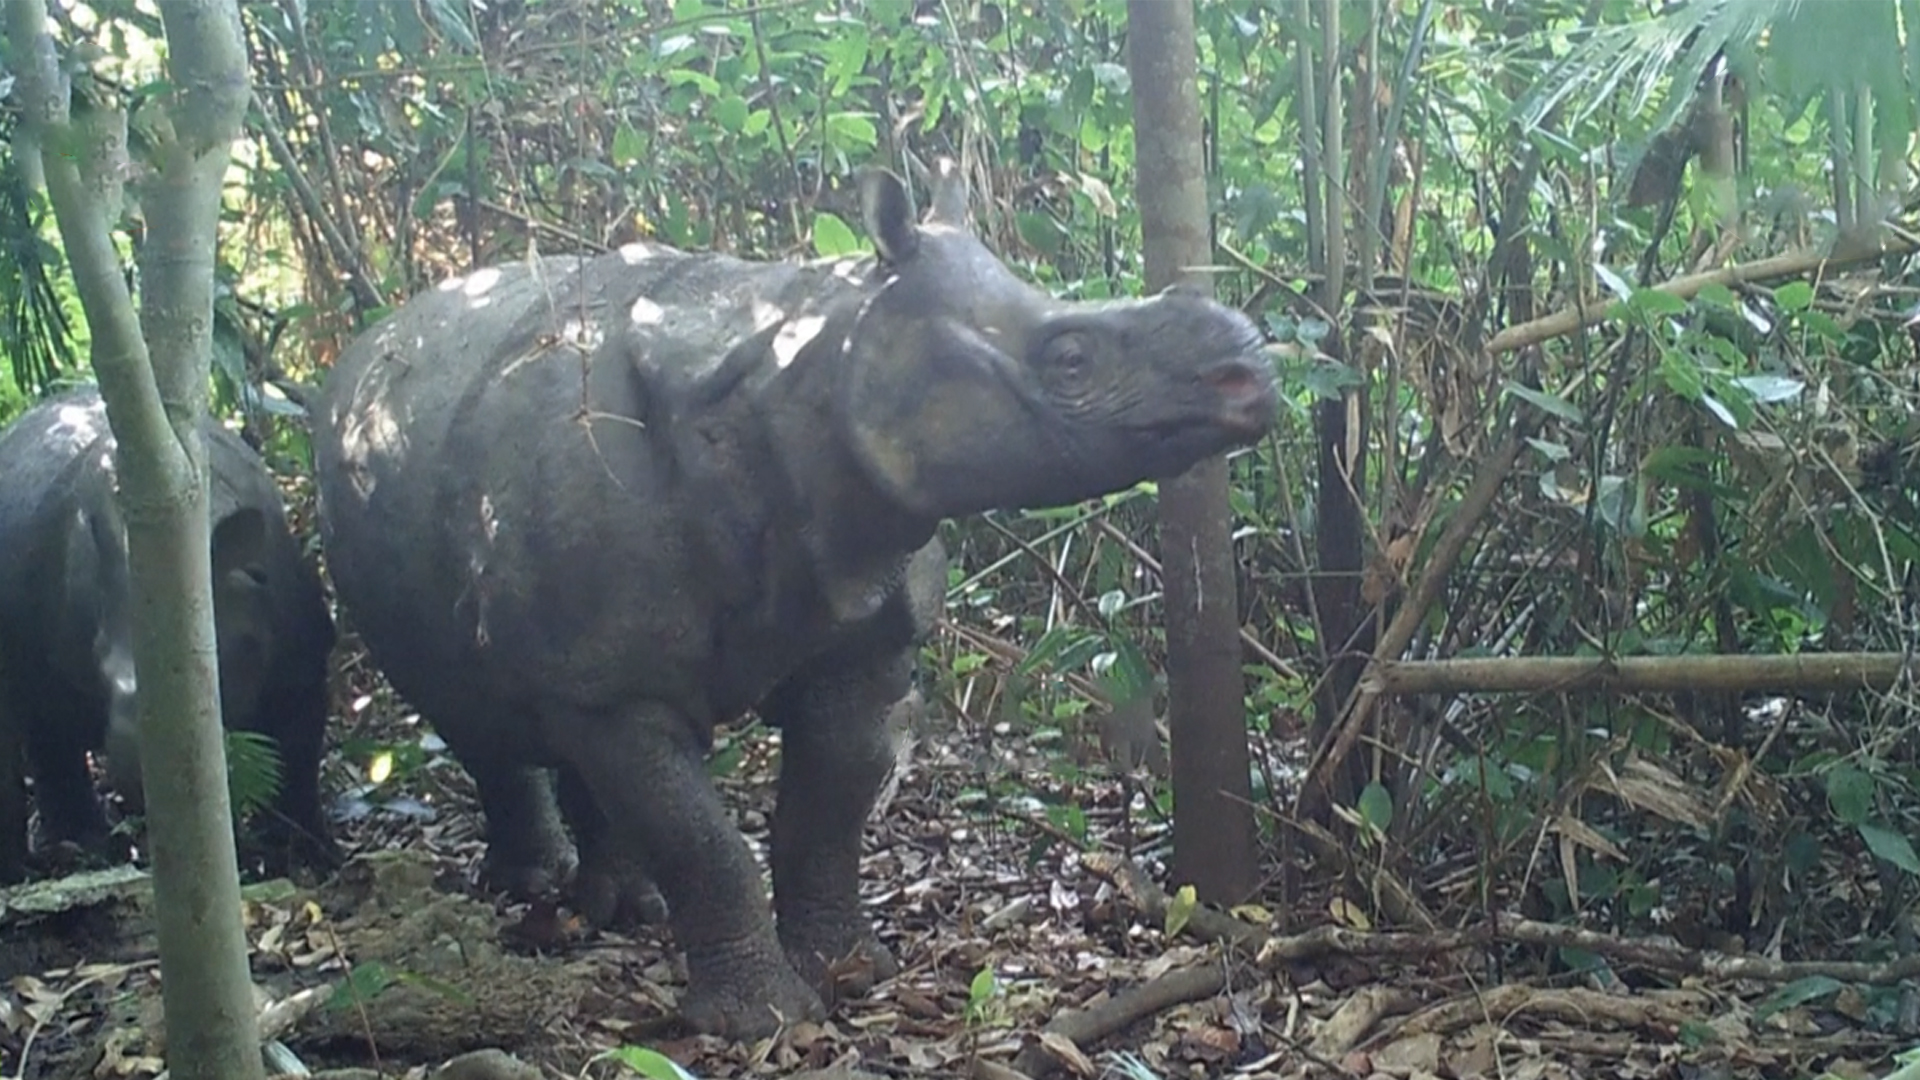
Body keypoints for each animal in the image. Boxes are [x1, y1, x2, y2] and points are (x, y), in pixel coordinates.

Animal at [0, 382, 337, 880]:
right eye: (99, 666)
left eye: (217, 665)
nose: (141, 774)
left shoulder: (300, 657)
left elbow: (295, 754)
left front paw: (307, 855)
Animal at [311, 161, 1274, 1037]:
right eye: (1070, 358)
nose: (1248, 374)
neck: (820, 355)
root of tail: (365, 346)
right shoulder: (625, 687)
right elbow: (704, 840)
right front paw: (759, 1022)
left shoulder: (862, 625)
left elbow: (827, 810)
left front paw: (852, 970)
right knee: (474, 709)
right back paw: (538, 891)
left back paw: (626, 908)